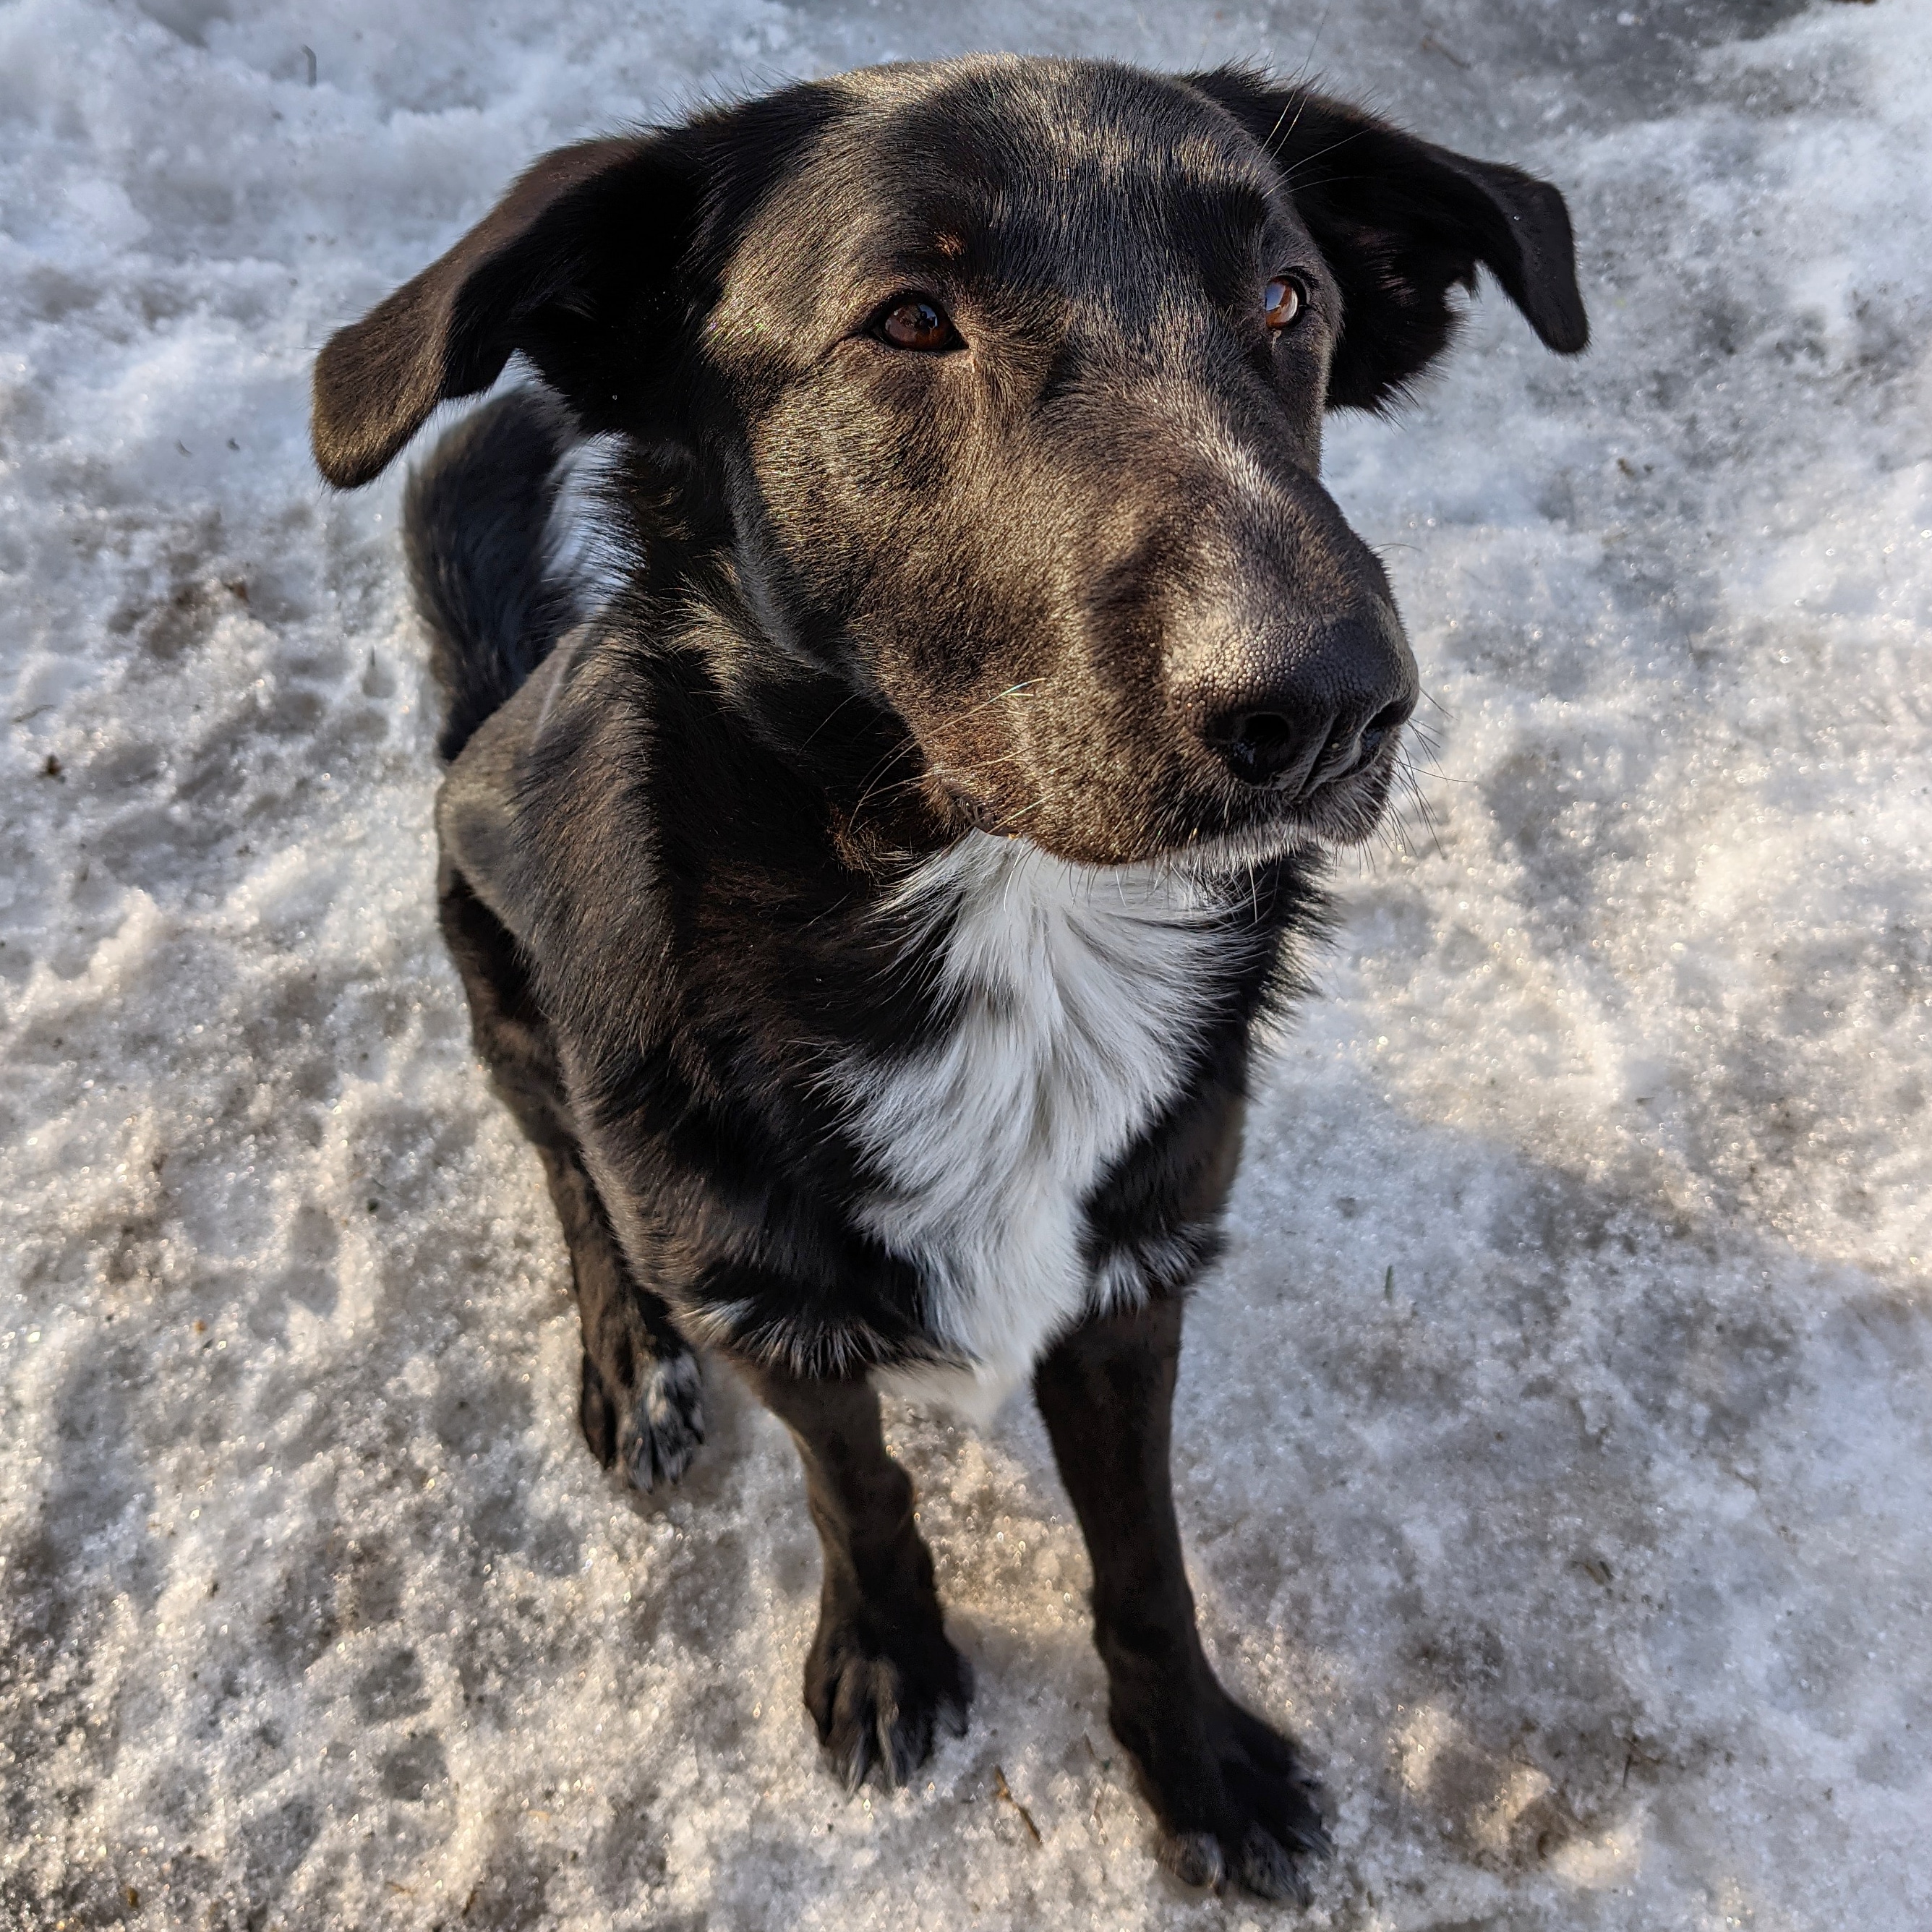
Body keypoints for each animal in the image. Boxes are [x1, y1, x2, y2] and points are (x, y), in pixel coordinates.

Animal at [310, 55, 1585, 1903]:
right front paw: (888, 1654)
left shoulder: (1132, 1282)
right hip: (507, 984)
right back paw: (630, 1360)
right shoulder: (778, 1312)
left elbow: (1144, 1558)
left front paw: (1191, 1760)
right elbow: (859, 1497)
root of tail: (486, 706)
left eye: (1288, 301)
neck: (1010, 918)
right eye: (908, 319)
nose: (1332, 702)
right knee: (569, 1182)